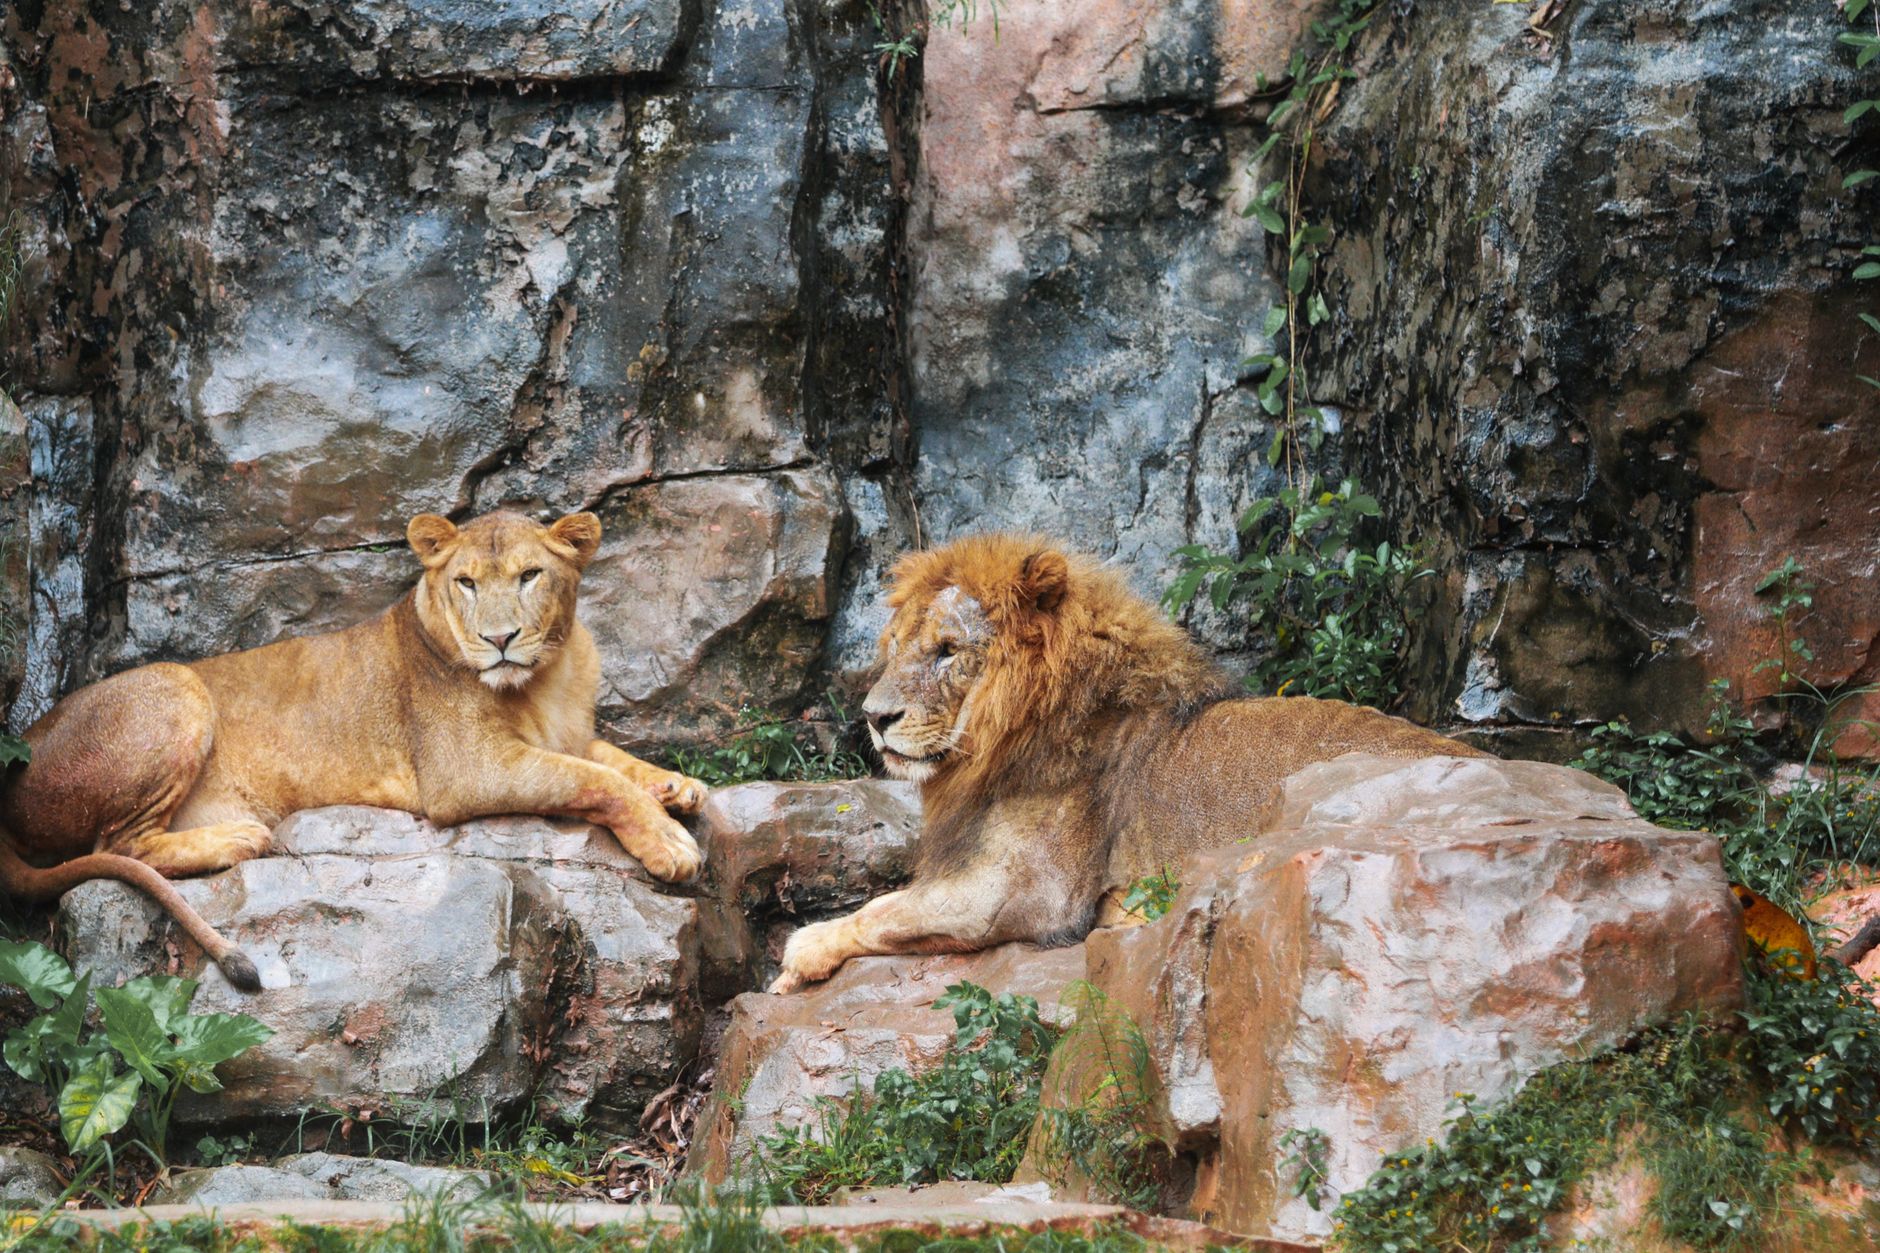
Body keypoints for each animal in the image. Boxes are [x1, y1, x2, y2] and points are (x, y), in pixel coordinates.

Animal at [0, 510, 707, 992]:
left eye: (531, 576)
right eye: (467, 583)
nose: (500, 639)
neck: (547, 676)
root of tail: (12, 765)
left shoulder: (568, 734)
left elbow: (609, 758)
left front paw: (678, 786)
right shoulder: (467, 772)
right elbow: (592, 780)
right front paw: (670, 842)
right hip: (178, 686)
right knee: (118, 845)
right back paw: (238, 838)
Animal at [769, 532, 1479, 992]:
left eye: (947, 650)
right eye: (896, 647)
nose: (873, 715)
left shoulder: (1028, 893)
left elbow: (886, 909)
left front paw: (800, 953)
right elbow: (891, 901)